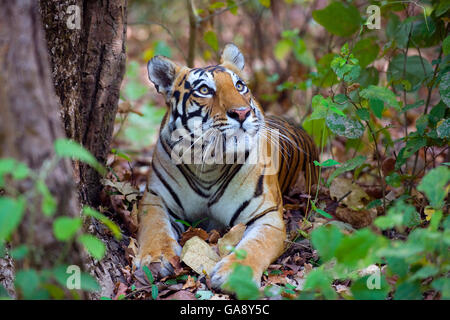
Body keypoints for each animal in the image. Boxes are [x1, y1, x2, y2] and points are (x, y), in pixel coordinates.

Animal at [134, 43, 320, 288]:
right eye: (204, 90)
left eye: (240, 86)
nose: (242, 113)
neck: (209, 165)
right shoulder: (155, 198)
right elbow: (155, 228)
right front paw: (156, 258)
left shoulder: (267, 216)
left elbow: (255, 245)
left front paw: (236, 276)